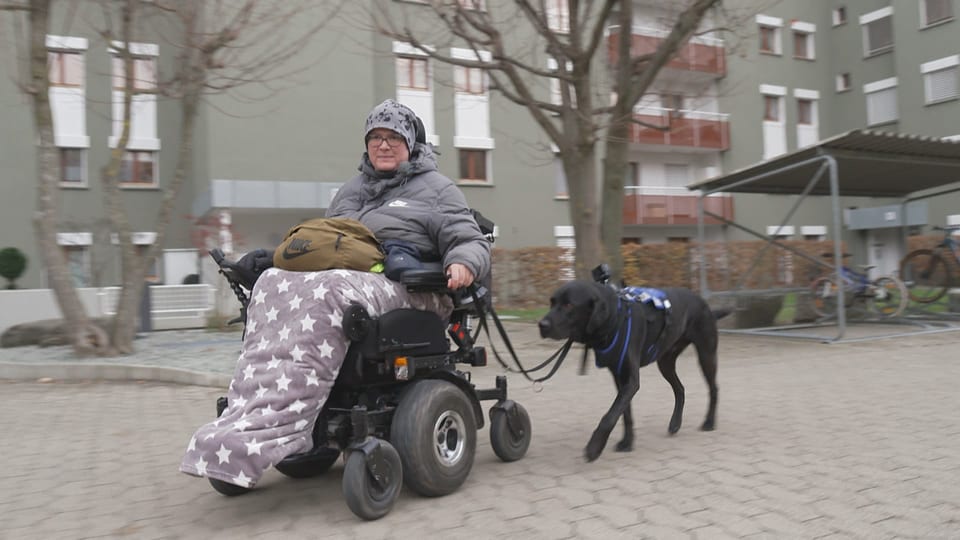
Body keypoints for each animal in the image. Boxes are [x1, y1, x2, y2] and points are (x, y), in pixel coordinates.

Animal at [536, 280, 732, 462]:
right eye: (552, 302)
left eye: (569, 305)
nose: (542, 324)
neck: (615, 319)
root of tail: (706, 305)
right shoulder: (619, 378)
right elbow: (625, 414)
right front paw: (627, 442)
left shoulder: (631, 381)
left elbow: (609, 416)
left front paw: (594, 447)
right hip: (665, 362)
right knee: (680, 389)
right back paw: (675, 423)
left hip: (706, 354)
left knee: (714, 388)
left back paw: (709, 422)